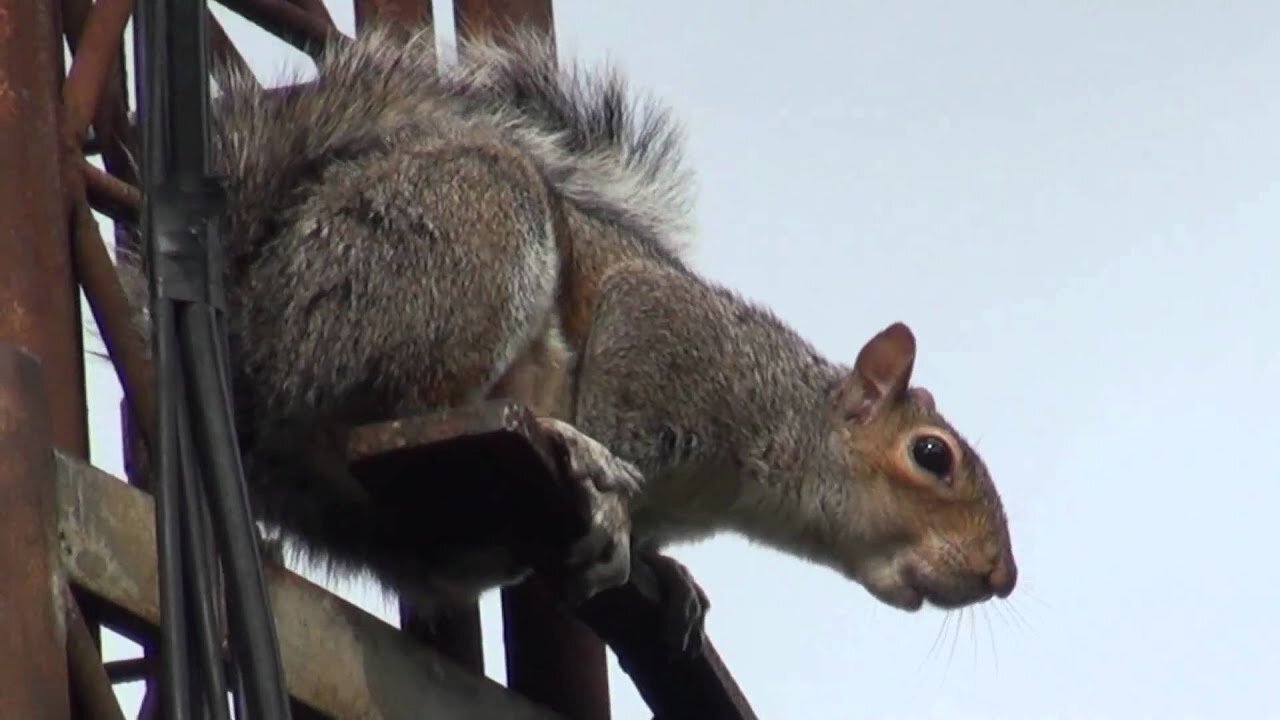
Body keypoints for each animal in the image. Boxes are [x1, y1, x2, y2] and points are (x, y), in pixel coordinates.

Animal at [120, 23, 1018, 650]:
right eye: (932, 456)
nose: (1001, 575)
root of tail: (257, 349)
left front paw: (669, 574)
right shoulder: (666, 343)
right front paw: (618, 517)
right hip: (470, 243)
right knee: (413, 408)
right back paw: (561, 440)